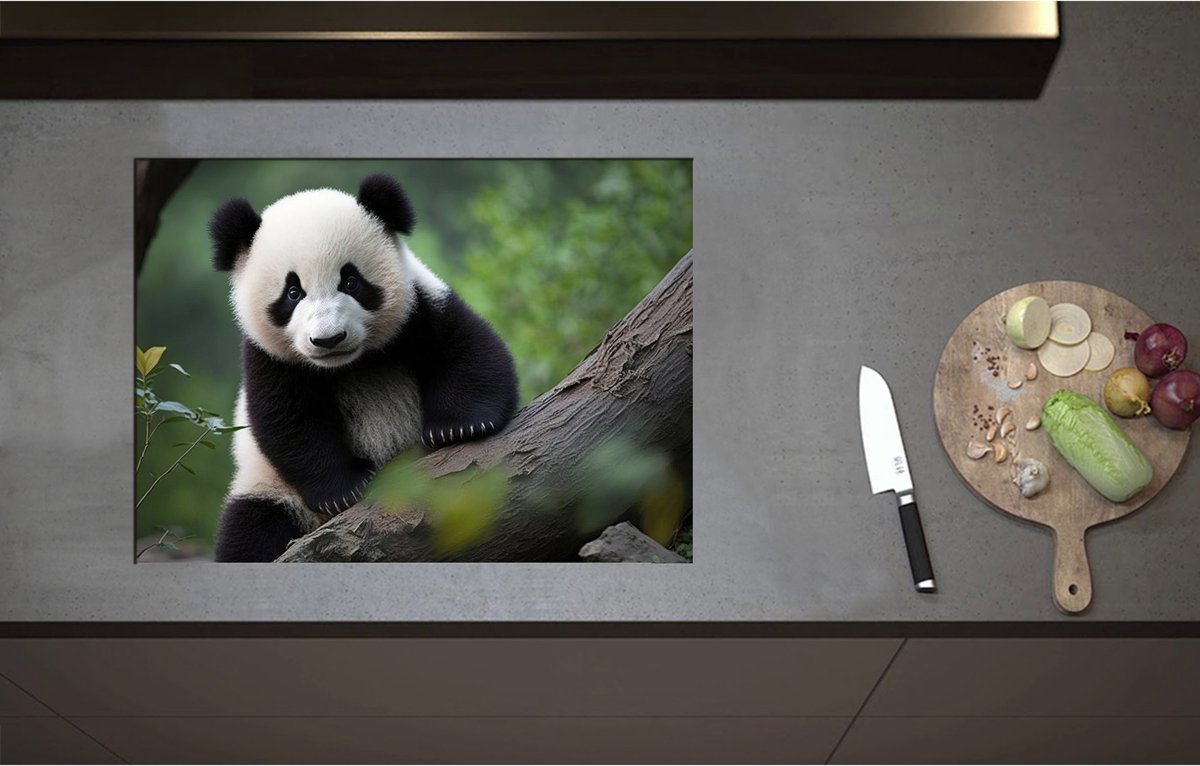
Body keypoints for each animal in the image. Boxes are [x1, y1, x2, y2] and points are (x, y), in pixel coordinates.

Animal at [208, 173, 518, 562]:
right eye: (293, 293)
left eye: (351, 282)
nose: (328, 339)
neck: (350, 365)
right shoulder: (270, 358)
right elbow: (287, 420)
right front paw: (344, 488)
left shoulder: (419, 309)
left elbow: (467, 350)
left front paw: (460, 426)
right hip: (269, 488)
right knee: (251, 530)